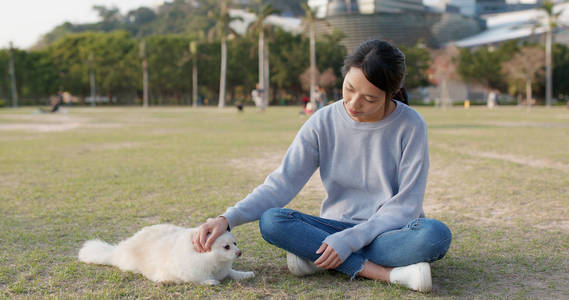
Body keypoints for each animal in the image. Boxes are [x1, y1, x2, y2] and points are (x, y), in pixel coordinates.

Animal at [77, 224, 253, 284]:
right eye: (226, 247)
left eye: (235, 243)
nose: (239, 252)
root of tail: (117, 251)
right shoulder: (189, 271)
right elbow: (199, 278)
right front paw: (210, 282)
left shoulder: (225, 270)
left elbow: (233, 272)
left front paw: (245, 274)